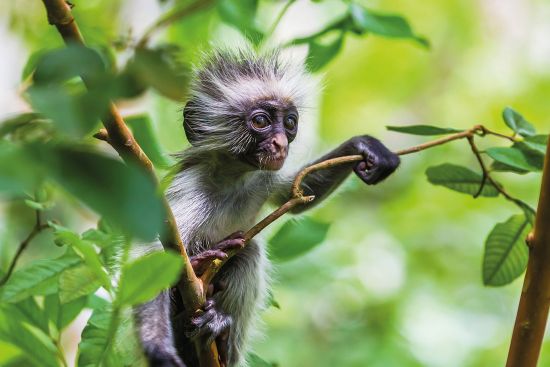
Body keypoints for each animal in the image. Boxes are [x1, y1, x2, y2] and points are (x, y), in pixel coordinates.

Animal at [134, 49, 402, 367]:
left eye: (290, 123)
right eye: (261, 121)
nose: (281, 143)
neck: (232, 179)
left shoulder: (262, 176)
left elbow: (296, 193)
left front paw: (364, 146)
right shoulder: (190, 187)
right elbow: (151, 254)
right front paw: (156, 346)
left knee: (248, 252)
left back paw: (220, 334)